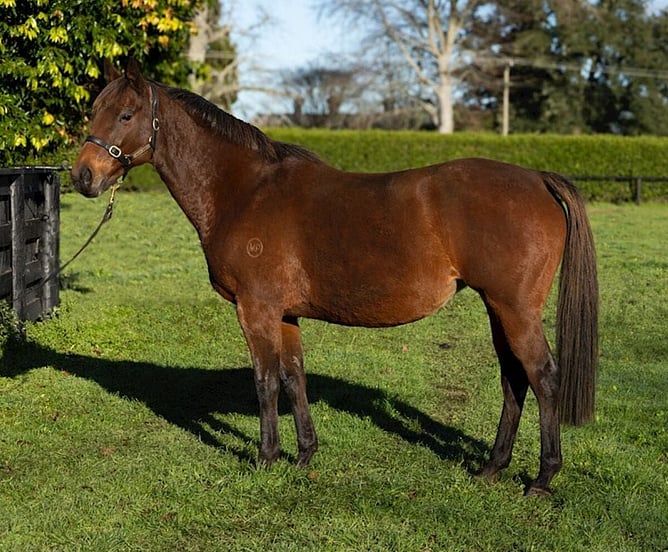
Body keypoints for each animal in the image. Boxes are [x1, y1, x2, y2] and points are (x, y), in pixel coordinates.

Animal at [71, 59, 598, 496]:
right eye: (94, 110)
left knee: (543, 377)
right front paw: (305, 455)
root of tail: (537, 178)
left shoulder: (256, 311)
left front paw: (266, 459)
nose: (83, 177)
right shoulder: (284, 315)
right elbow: (293, 378)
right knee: (514, 379)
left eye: (126, 115)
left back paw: (543, 479)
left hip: (514, 309)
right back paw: (491, 468)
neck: (244, 192)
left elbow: (265, 381)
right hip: (497, 308)